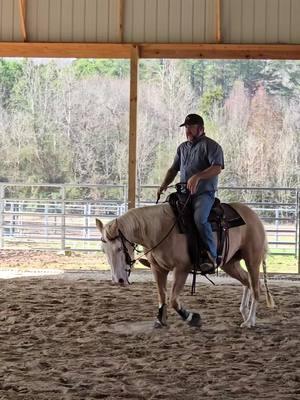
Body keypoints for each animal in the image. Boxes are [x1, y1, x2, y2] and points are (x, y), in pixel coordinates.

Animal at [95, 202, 274, 326]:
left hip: (252, 260)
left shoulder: (181, 269)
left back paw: (249, 321)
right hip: (230, 263)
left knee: (256, 287)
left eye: (119, 248)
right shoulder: (158, 269)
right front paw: (161, 320)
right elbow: (162, 296)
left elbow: (173, 299)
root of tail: (254, 216)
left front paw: (192, 318)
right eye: (104, 250)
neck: (159, 230)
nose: (118, 280)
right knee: (247, 281)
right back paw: (244, 312)